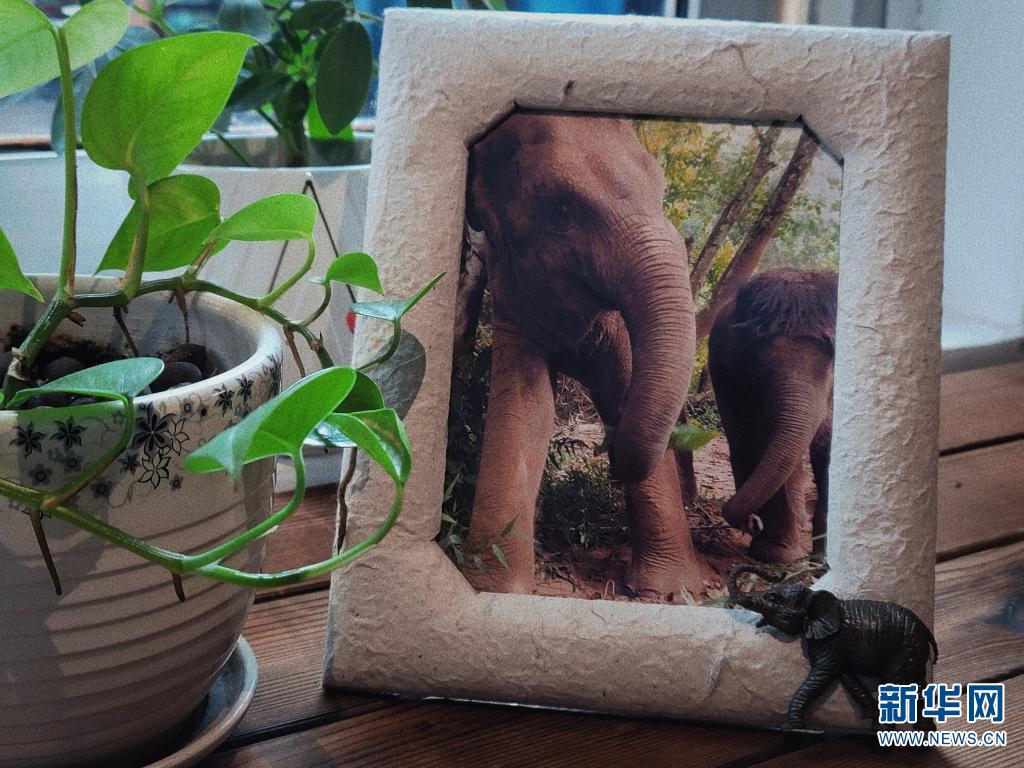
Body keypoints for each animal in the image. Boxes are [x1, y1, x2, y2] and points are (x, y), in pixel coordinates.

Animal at [459, 111, 701, 600]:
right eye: (560, 210)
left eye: (660, 190)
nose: (608, 458)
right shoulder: (514, 299)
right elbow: (528, 407)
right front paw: (492, 590)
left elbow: (626, 390)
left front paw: (669, 593)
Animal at [708, 268, 837, 564]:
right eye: (757, 364)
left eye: (834, 362)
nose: (753, 522)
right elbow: (761, 439)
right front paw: (778, 555)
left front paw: (821, 562)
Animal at [727, 565, 938, 730]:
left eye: (773, 598)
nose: (780, 573)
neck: (814, 596)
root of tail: (925, 629)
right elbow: (847, 676)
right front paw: (871, 716)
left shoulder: (831, 641)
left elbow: (823, 675)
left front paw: (792, 727)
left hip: (906, 650)